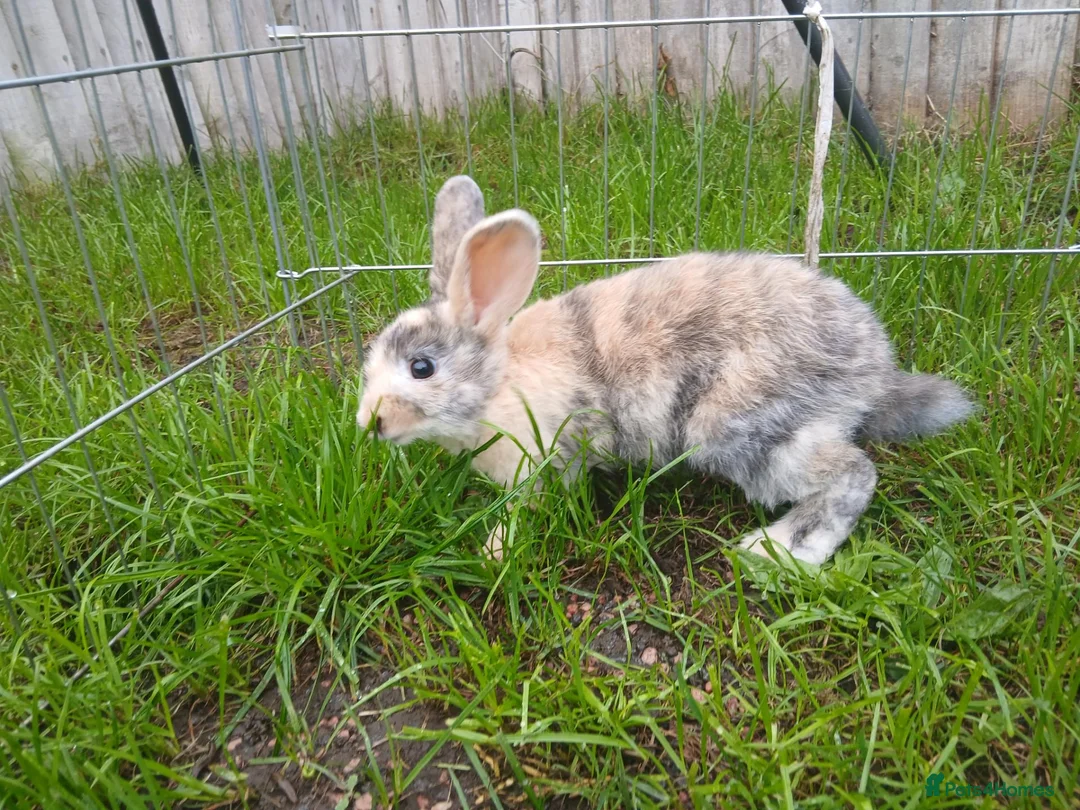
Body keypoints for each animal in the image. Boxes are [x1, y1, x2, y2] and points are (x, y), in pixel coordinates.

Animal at [357, 175, 974, 565]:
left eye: (421, 367)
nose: (370, 424)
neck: (497, 382)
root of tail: (874, 367)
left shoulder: (542, 462)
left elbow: (528, 507)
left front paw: (494, 550)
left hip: (743, 425)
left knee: (852, 473)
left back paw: (777, 552)